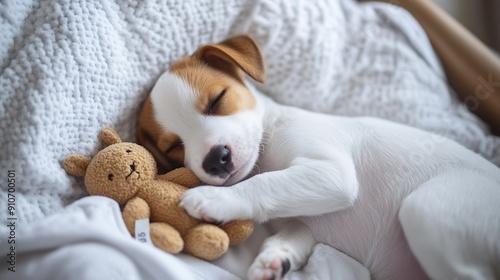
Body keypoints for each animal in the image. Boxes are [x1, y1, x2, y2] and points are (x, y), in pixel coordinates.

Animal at [137, 35, 500, 280]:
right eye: (174, 148)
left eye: (217, 100)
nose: (215, 160)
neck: (268, 145)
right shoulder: (302, 221)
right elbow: (286, 234)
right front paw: (273, 260)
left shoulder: (331, 172)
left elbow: (262, 183)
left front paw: (214, 199)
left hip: (423, 208)